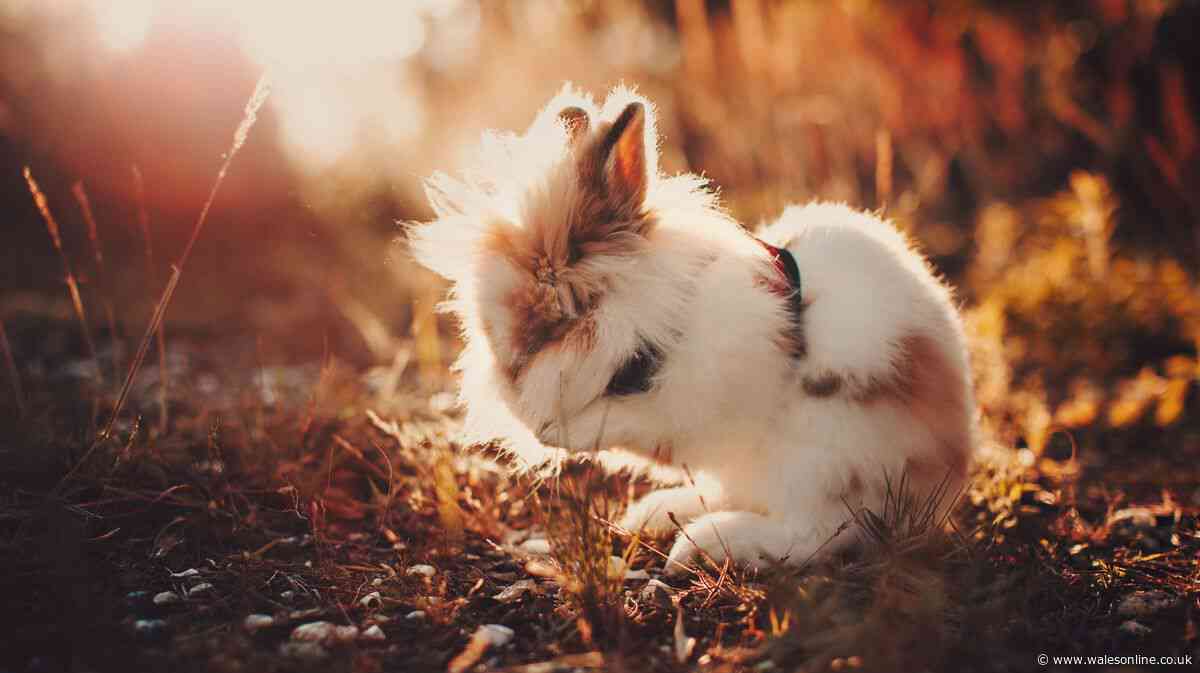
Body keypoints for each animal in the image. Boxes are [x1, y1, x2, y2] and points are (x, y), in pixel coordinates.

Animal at [408, 85, 976, 573]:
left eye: (555, 311)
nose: (528, 416)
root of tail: (941, 485)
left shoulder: (697, 401)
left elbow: (634, 421)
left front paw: (564, 431)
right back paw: (659, 513)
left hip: (821, 462)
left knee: (818, 532)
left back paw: (703, 544)